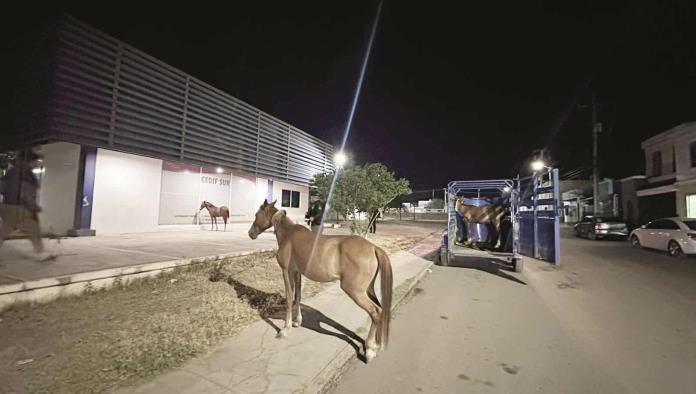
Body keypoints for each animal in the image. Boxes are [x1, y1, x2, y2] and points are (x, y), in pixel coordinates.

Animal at [249, 200, 392, 364]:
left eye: (257, 214)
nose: (250, 233)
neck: (288, 234)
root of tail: (373, 248)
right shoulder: (298, 273)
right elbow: (298, 296)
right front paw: (297, 322)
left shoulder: (286, 271)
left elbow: (290, 297)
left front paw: (285, 329)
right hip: (368, 289)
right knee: (381, 309)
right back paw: (376, 345)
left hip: (355, 291)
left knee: (375, 312)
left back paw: (369, 350)